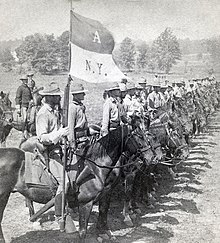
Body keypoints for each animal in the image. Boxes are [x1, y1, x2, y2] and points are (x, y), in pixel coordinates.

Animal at [0, 124, 154, 242]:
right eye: (139, 136)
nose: (152, 158)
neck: (94, 166)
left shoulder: (106, 193)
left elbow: (103, 212)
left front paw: (104, 233)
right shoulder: (86, 203)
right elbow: (83, 231)